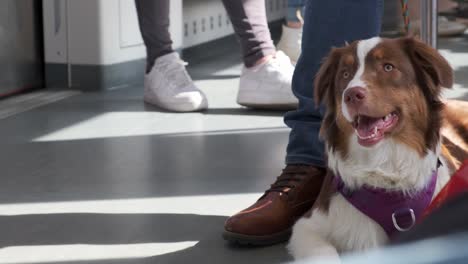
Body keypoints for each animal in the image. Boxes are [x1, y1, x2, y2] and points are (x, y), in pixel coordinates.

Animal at [288, 36, 468, 260]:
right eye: (345, 74)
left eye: (388, 67)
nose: (351, 95)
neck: (384, 163)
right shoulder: (308, 225)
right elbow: (324, 252)